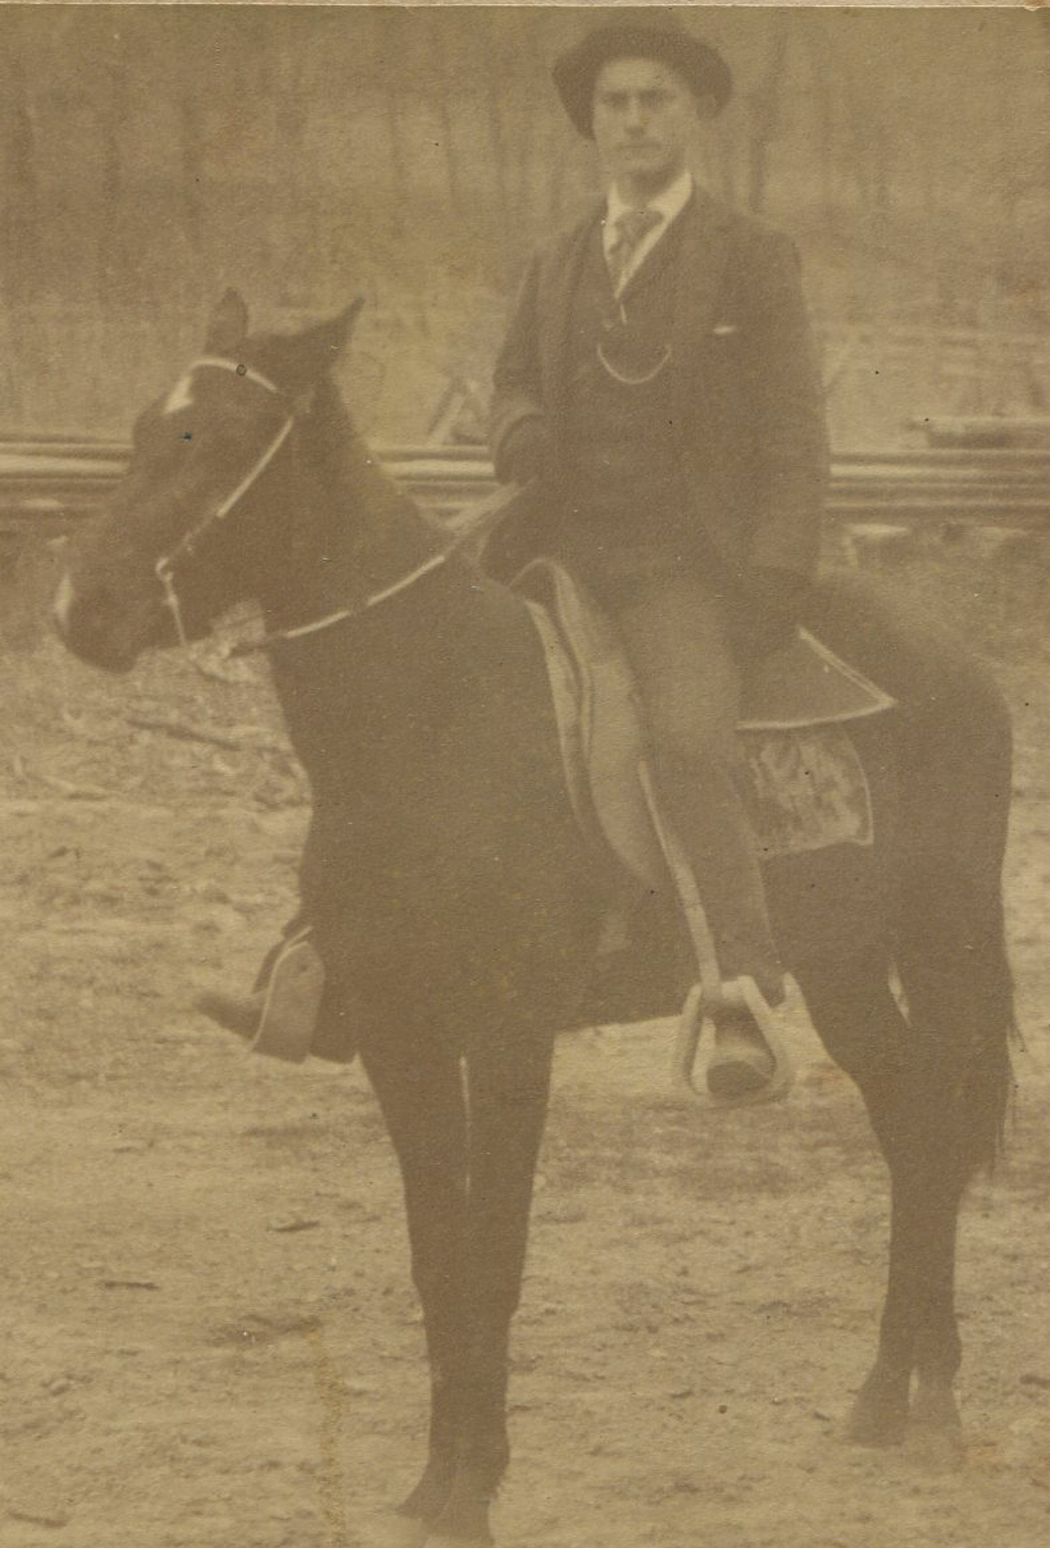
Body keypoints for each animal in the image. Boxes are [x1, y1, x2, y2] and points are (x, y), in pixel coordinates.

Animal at [54, 292, 1014, 1546]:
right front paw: (432, 1483)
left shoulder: (509, 1042)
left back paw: (937, 1400)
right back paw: (882, 1394)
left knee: (939, 1129)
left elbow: (495, 1256)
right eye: (134, 431)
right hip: (843, 965)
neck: (432, 716)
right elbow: (438, 1258)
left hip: (940, 940)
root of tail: (961, 660)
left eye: (217, 442)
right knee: (910, 1125)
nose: (80, 611)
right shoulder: (403, 1043)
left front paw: (474, 1488)